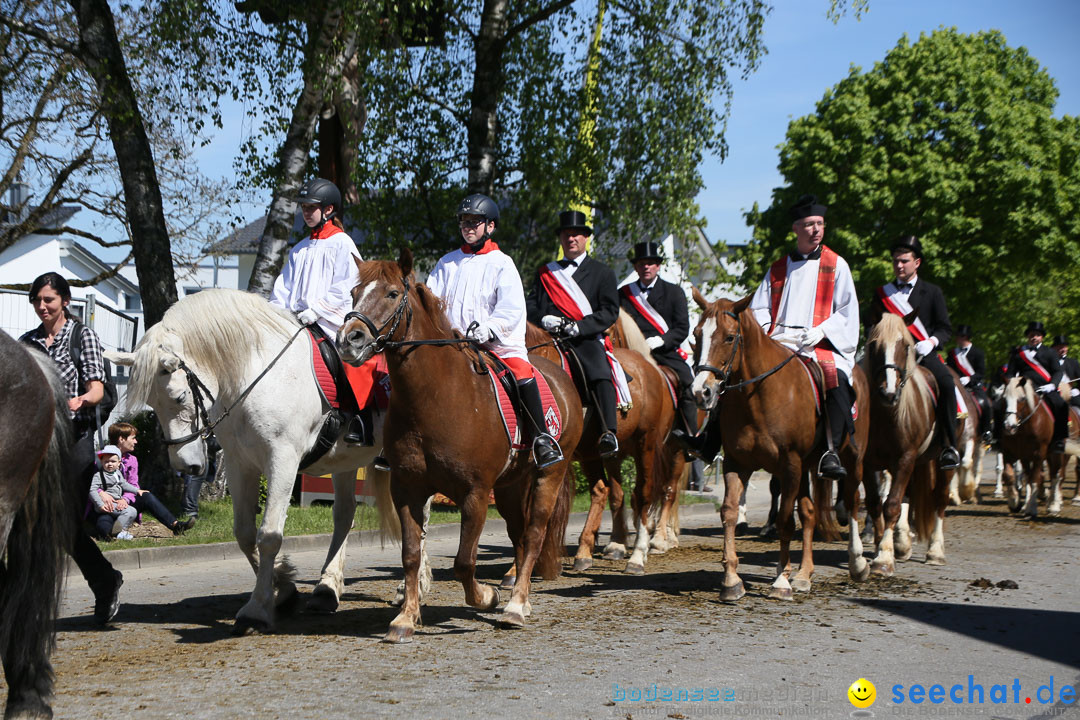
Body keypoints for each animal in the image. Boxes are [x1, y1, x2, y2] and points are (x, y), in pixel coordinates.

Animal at [108, 289, 393, 634]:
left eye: (179, 396)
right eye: (151, 402)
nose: (186, 466)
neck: (258, 375)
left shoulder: (282, 461)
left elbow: (268, 535)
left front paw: (256, 610)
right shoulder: (239, 463)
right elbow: (244, 534)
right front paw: (283, 589)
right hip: (345, 461)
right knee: (345, 515)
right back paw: (327, 589)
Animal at [339, 249, 583, 643]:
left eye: (392, 293)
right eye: (354, 292)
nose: (350, 340)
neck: (436, 397)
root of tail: (560, 378)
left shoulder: (475, 494)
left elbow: (464, 561)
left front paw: (486, 597)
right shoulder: (406, 489)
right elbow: (411, 554)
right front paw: (405, 618)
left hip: (550, 475)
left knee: (533, 534)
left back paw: (515, 607)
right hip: (511, 486)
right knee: (518, 534)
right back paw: (520, 598)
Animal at [686, 293, 872, 604]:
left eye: (729, 337)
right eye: (697, 335)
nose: (702, 392)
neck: (759, 395)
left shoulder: (790, 465)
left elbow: (785, 519)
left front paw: (781, 582)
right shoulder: (737, 463)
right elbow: (730, 512)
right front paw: (732, 580)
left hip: (852, 458)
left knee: (852, 501)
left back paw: (857, 563)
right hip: (808, 465)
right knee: (809, 512)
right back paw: (804, 574)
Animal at [864, 315, 976, 574]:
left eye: (906, 346)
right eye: (874, 345)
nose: (888, 393)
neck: (886, 415)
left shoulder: (905, 458)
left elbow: (892, 504)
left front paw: (884, 559)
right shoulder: (868, 463)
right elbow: (876, 503)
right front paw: (882, 547)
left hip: (941, 463)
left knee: (940, 499)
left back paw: (935, 552)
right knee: (908, 497)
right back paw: (902, 544)